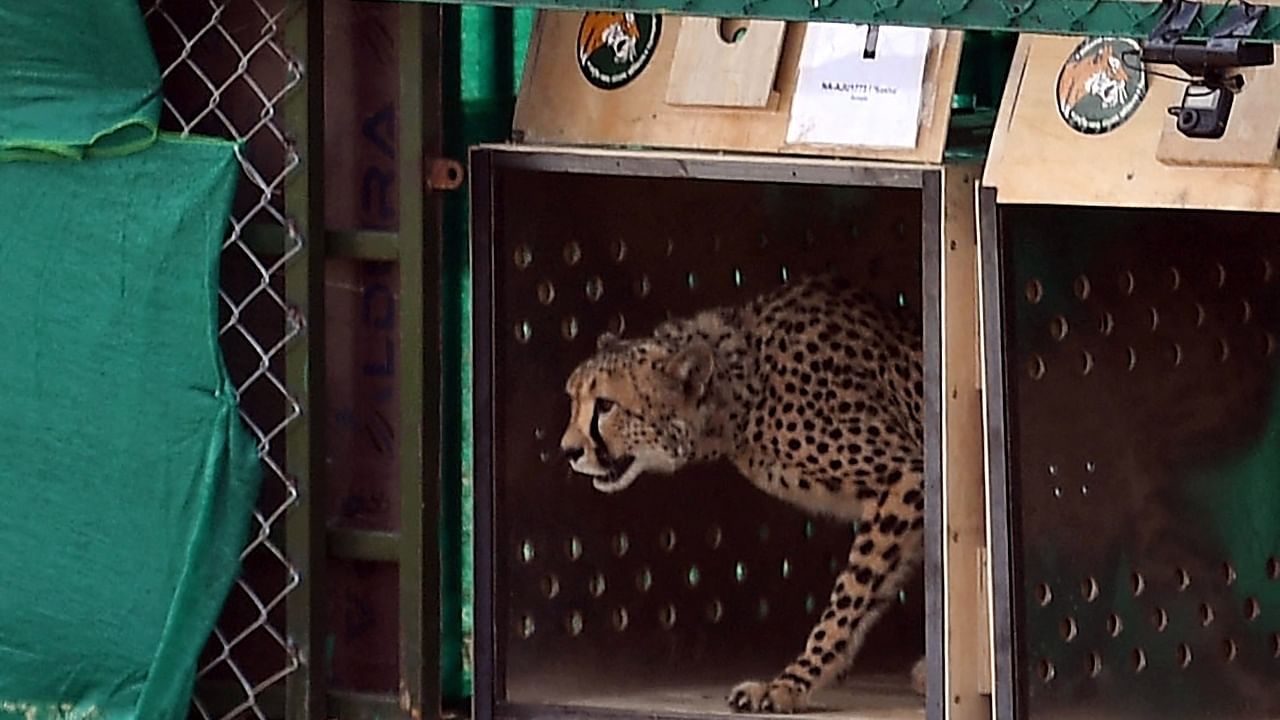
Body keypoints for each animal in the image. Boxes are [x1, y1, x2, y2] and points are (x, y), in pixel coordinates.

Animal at [555, 271, 926, 707]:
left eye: (606, 405)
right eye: (573, 400)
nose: (568, 451)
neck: (744, 392)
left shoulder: (906, 475)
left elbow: (850, 596)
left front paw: (792, 683)